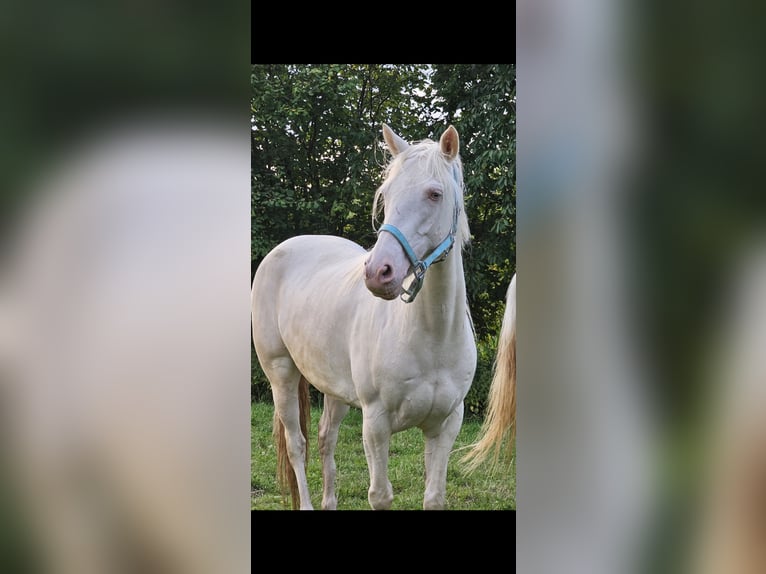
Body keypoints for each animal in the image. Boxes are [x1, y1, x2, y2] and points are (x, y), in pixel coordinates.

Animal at [251, 124, 476, 510]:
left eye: (435, 194)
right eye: (385, 193)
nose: (378, 273)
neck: (434, 336)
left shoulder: (446, 425)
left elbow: (434, 496)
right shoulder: (376, 423)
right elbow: (380, 495)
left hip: (334, 388)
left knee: (325, 438)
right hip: (281, 374)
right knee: (297, 445)